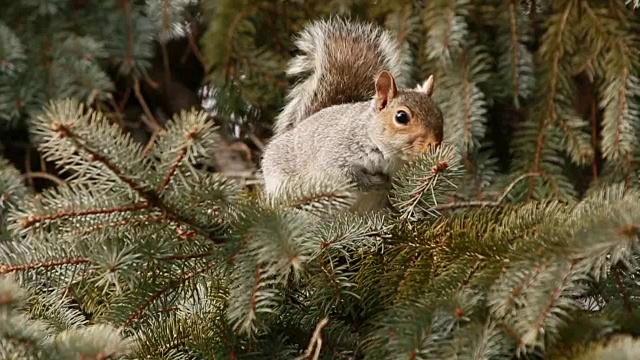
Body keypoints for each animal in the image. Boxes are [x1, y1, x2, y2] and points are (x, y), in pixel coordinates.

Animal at [260, 16, 444, 212]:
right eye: (401, 117)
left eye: (440, 114)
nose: (434, 144)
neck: (390, 157)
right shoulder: (337, 154)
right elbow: (349, 177)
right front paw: (377, 182)